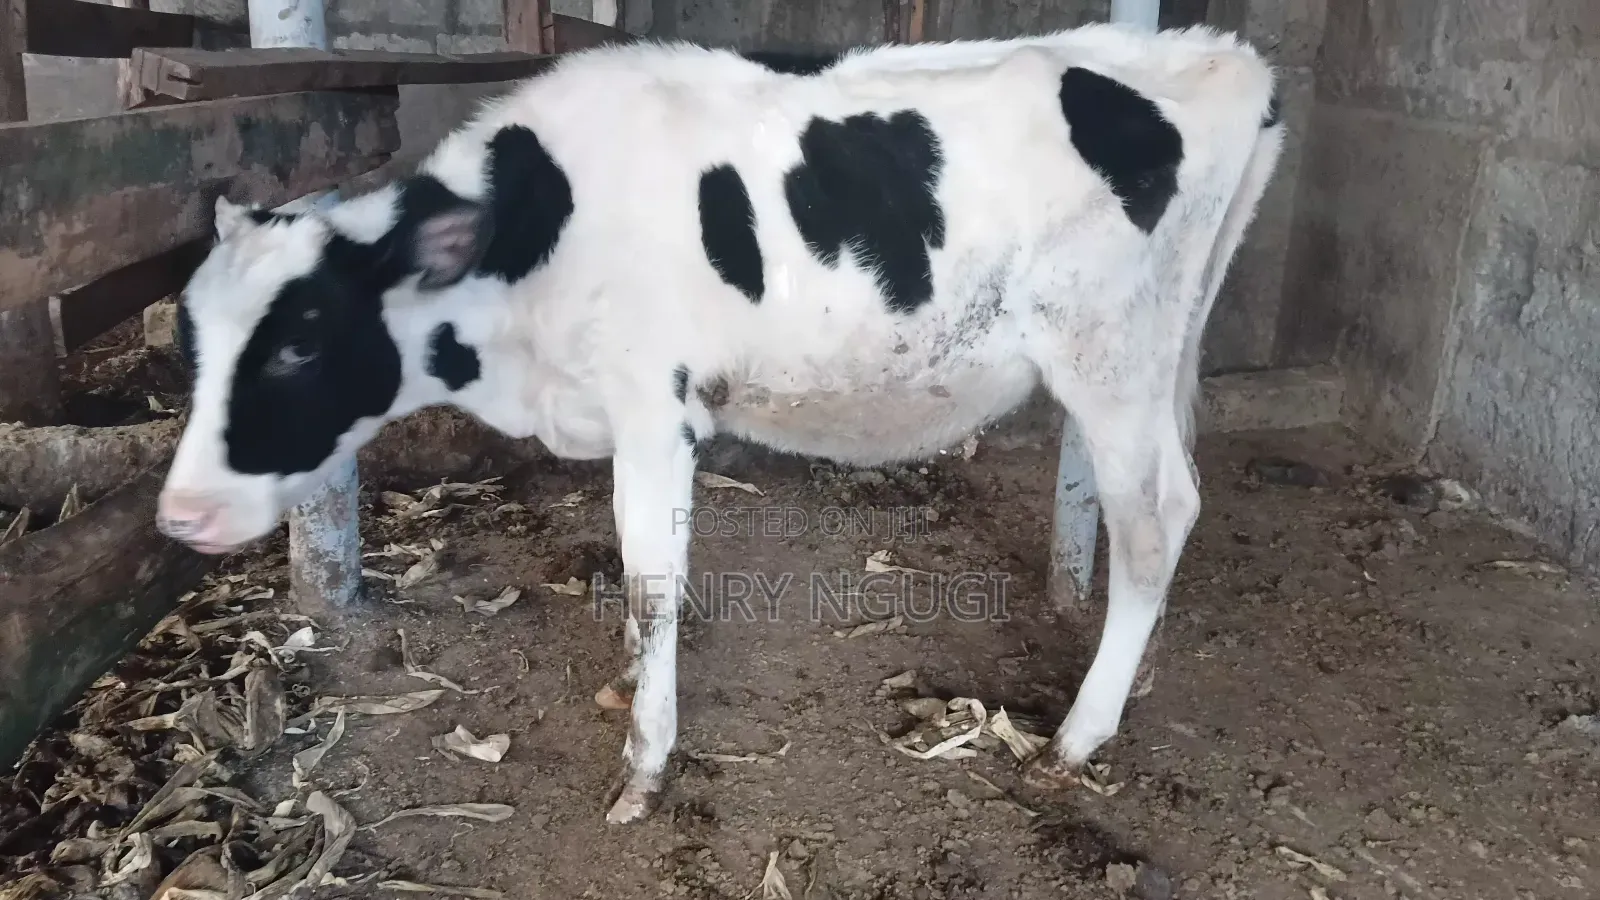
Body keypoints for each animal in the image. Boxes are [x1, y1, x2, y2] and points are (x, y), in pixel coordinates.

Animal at [156, 24, 1286, 824]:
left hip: (1110, 356)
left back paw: (1081, 733)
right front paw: (627, 693)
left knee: (1155, 518)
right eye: (191, 338)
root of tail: (1217, 55)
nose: (179, 515)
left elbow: (654, 588)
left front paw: (645, 765)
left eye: (301, 342)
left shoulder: (655, 410)